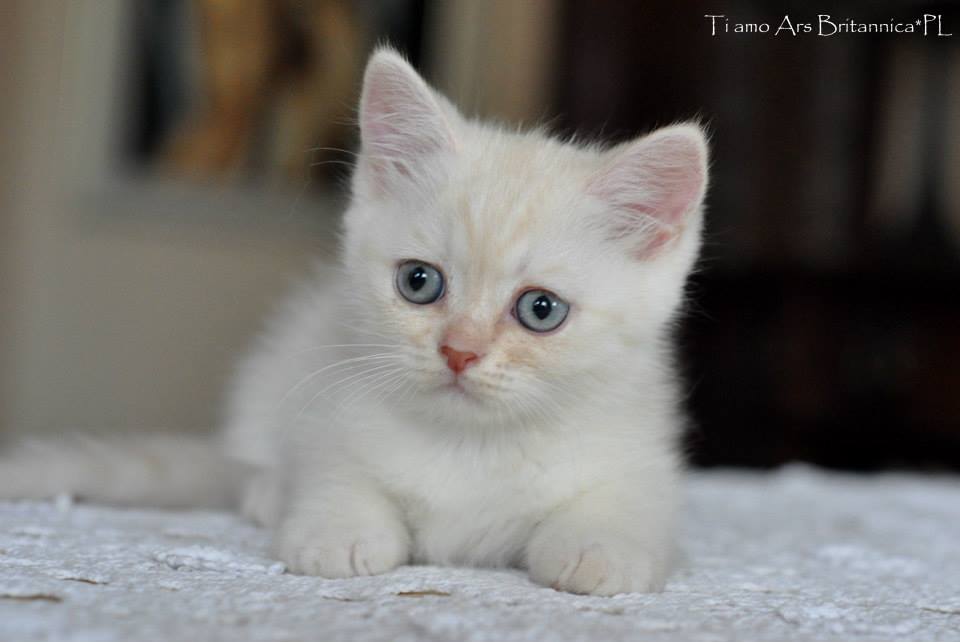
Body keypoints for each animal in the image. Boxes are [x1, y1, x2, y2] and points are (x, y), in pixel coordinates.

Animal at [0, 48, 708, 596]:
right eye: (419, 282)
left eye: (541, 310)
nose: (460, 351)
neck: (472, 445)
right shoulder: (328, 412)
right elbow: (337, 473)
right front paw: (336, 530)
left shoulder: (638, 452)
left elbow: (623, 506)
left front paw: (599, 550)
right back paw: (266, 493)